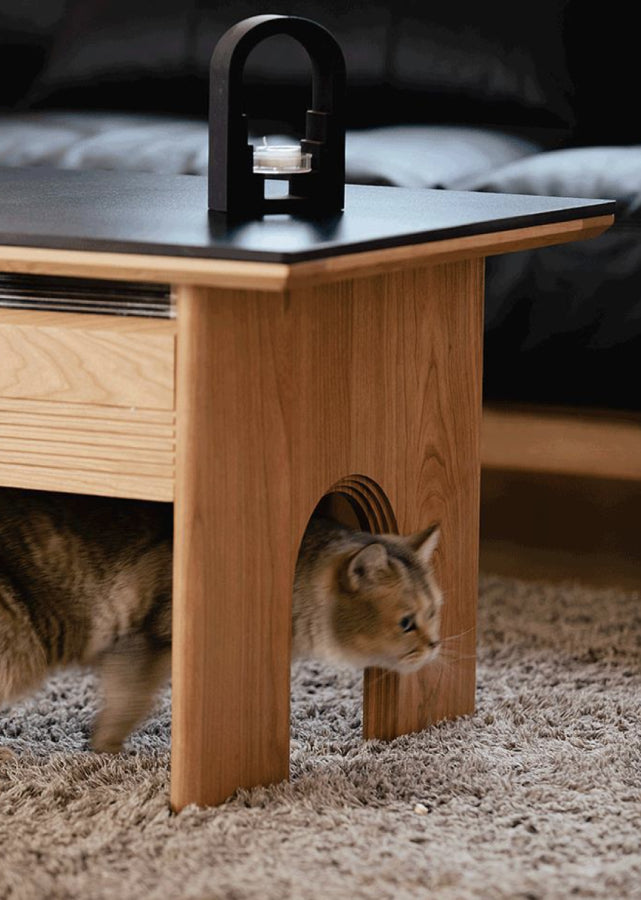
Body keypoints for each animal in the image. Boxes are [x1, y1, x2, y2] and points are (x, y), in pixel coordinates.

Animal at [0, 488, 440, 756]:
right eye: (406, 622)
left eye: (434, 610)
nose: (434, 644)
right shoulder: (144, 643)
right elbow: (128, 705)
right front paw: (107, 752)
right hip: (18, 645)